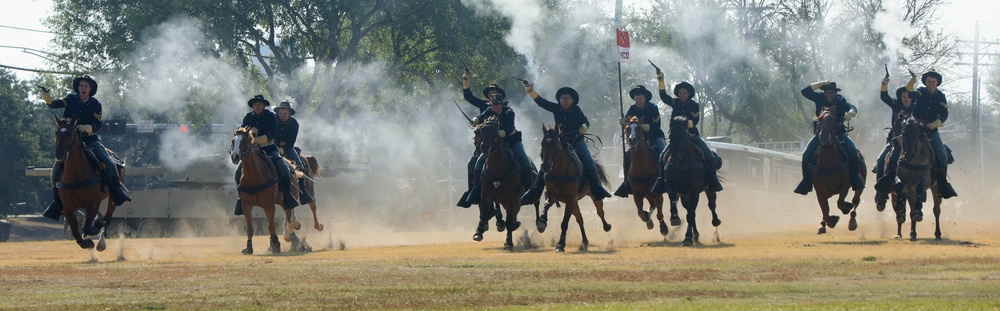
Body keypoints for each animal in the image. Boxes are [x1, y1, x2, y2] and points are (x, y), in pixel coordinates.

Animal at [52, 117, 120, 251]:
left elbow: (87, 228)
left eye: (71, 133)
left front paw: (93, 235)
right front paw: (85, 243)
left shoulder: (93, 204)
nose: (59, 154)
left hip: (112, 198)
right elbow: (75, 231)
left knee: (107, 218)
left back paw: (101, 241)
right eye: (57, 133)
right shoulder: (68, 208)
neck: (75, 175)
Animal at [229, 127, 298, 256]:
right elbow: (250, 228)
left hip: (287, 200)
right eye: (233, 141)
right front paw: (249, 248)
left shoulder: (269, 205)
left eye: (244, 141)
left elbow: (271, 226)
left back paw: (293, 240)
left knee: (289, 218)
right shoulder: (246, 205)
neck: (254, 177)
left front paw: (276, 245)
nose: (235, 156)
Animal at [476, 116, 540, 251]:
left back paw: (539, 223)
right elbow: (484, 213)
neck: (498, 168)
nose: (484, 147)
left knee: (535, 203)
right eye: (481, 130)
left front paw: (509, 243)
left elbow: (509, 221)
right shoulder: (486, 194)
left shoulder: (512, 198)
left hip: (525, 195)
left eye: (495, 131)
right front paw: (478, 232)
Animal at [664, 116, 720, 247]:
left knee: (711, 204)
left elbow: (691, 214)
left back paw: (715, 223)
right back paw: (696, 235)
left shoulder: (694, 191)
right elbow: (673, 196)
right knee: (690, 210)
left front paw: (687, 238)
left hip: (709, 189)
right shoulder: (672, 185)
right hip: (685, 197)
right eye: (670, 136)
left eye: (684, 137)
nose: (674, 159)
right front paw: (674, 217)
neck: (683, 163)